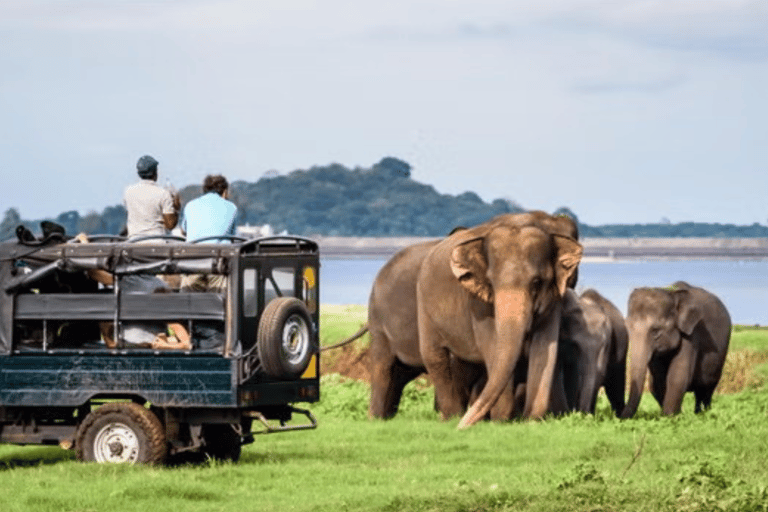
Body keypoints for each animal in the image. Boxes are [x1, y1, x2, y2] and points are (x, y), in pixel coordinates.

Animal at [368, 210, 580, 418]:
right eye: (491, 282)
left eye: (536, 282)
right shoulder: (478, 303)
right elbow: (493, 348)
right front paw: (501, 421)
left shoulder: (554, 298)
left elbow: (545, 348)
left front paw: (532, 419)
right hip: (410, 311)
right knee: (418, 359)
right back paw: (447, 417)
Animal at [616, 282, 732, 418]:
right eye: (627, 328)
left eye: (656, 331)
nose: (618, 416)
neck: (671, 293)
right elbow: (656, 382)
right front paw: (672, 415)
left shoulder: (692, 334)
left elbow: (677, 377)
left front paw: (670, 417)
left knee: (706, 390)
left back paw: (704, 413)